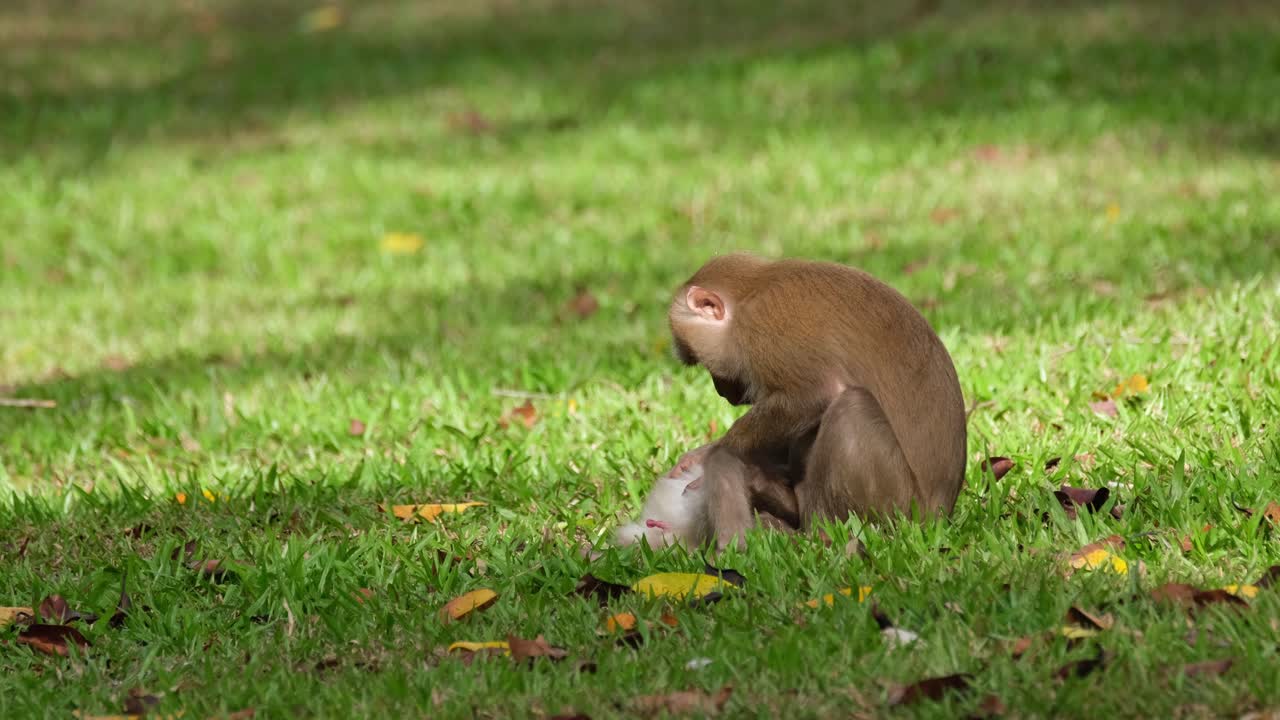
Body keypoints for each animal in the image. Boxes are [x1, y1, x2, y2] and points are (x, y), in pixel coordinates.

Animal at [667, 253, 967, 548]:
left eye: (702, 362)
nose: (721, 390)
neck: (750, 294)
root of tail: (939, 514)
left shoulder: (765, 327)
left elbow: (815, 395)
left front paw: (712, 453)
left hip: (901, 504)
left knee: (850, 407)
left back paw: (815, 534)